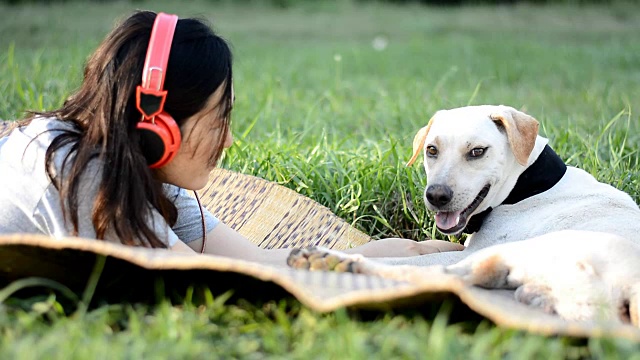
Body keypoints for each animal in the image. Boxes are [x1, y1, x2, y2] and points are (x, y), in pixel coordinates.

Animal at [288, 105, 640, 328]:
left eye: (477, 151)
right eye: (431, 150)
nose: (436, 196)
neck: (526, 185)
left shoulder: (467, 251)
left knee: (420, 273)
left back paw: (333, 260)